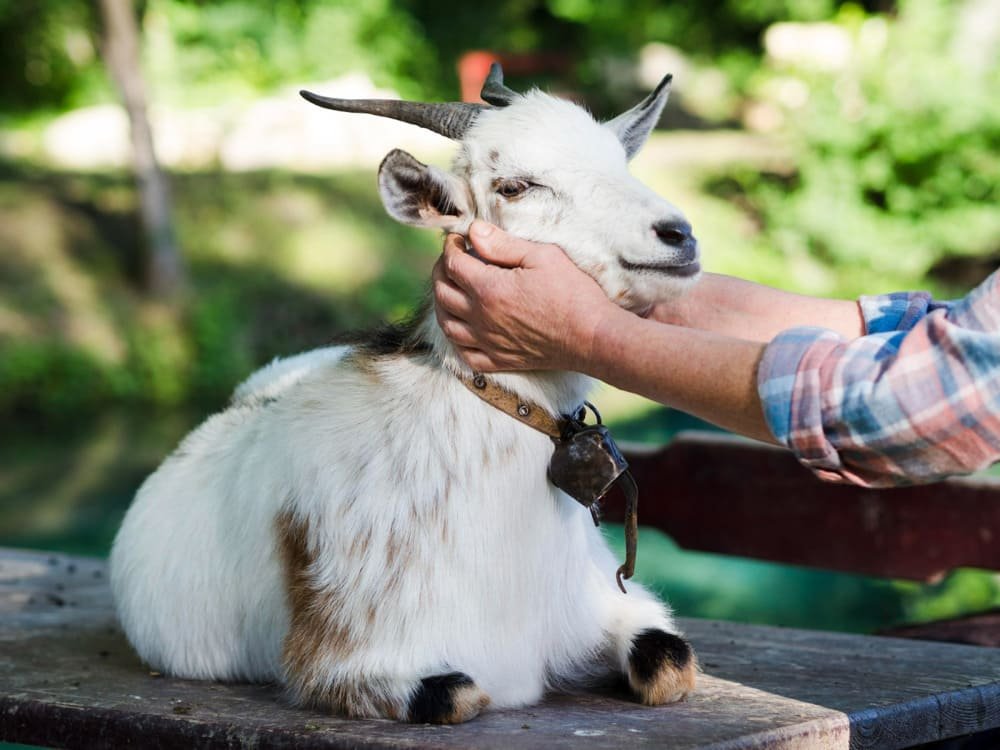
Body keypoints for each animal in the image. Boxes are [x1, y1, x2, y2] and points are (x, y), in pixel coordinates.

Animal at [110, 64, 701, 724]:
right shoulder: (348, 658)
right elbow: (456, 694)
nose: (677, 234)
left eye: (620, 163)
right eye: (515, 186)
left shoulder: (611, 602)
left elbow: (669, 663)